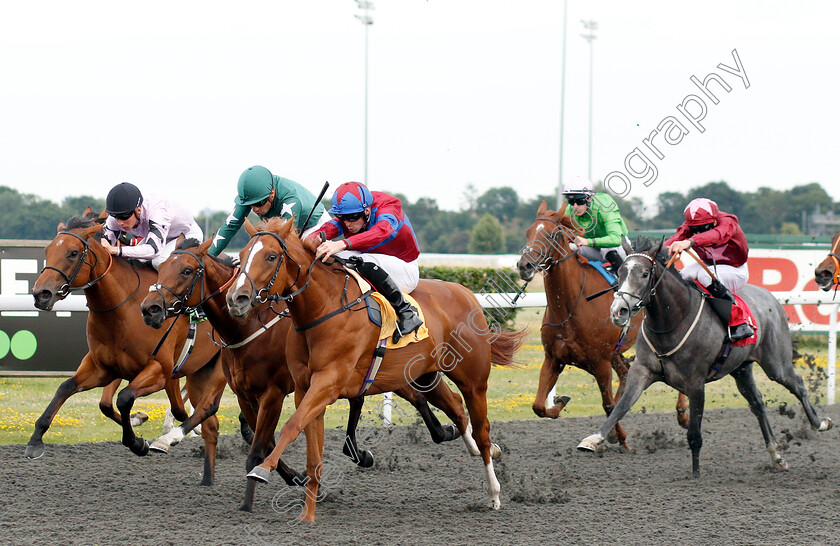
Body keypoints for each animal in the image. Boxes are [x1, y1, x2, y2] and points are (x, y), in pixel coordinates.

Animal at [28, 210, 226, 482]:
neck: (124, 308)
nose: (41, 294)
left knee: (207, 407)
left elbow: (124, 398)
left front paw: (138, 442)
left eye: (73, 252)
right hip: (198, 370)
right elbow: (69, 389)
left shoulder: (157, 370)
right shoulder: (103, 367)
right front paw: (36, 440)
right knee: (200, 416)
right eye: (48, 250)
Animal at [140, 237, 462, 510]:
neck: (250, 325)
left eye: (186, 270)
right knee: (379, 397)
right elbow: (262, 438)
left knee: (412, 396)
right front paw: (297, 477)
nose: (149, 308)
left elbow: (259, 442)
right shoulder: (247, 392)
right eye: (161, 267)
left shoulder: (274, 391)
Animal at [226, 216, 520, 520]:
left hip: (473, 381)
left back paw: (494, 491)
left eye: (271, 256)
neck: (323, 309)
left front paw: (262, 470)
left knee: (482, 430)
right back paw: (486, 450)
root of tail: (465, 292)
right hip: (425, 375)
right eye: (242, 255)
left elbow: (291, 425)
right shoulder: (304, 389)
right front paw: (308, 515)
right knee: (457, 409)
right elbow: (312, 454)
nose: (236, 299)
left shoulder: (326, 384)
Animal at [516, 200, 684, 446]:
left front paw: (619, 437)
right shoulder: (553, 358)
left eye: (553, 234)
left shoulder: (600, 362)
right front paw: (561, 401)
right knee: (625, 373)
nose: (524, 265)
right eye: (528, 232)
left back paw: (683, 413)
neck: (570, 306)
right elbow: (538, 406)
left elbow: (608, 404)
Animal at [576, 236, 832, 474]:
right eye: (620, 271)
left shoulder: (696, 383)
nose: (618, 311)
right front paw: (592, 440)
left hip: (776, 363)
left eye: (645, 273)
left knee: (798, 385)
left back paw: (820, 423)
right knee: (757, 403)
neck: (672, 321)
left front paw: (696, 474)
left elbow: (694, 433)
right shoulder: (643, 371)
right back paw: (776, 456)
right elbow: (621, 407)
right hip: (741, 369)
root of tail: (771, 298)